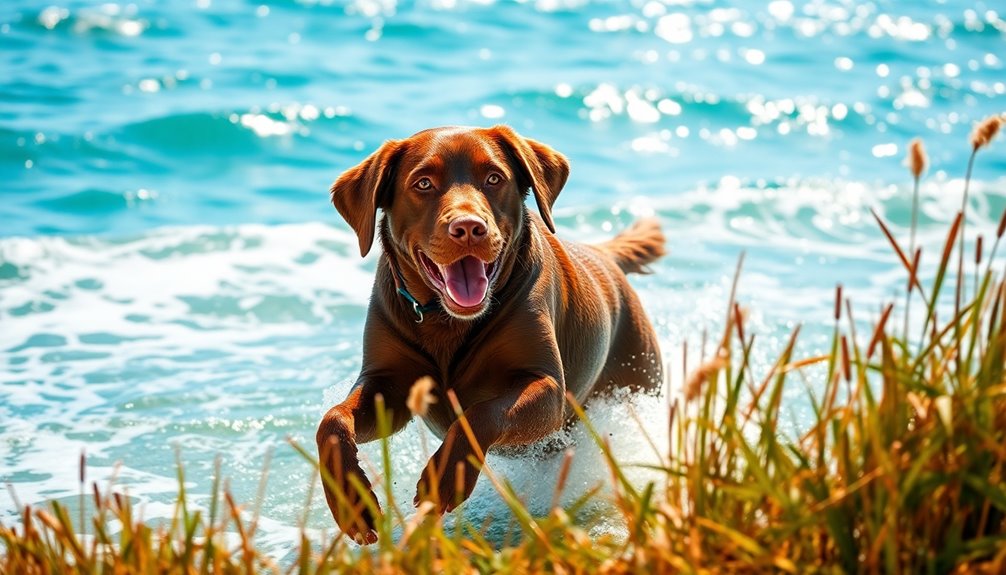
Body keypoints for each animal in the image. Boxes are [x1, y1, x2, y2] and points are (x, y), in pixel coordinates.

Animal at [317, 123, 663, 542]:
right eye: (423, 183)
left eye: (494, 178)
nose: (468, 228)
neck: (446, 320)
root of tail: (604, 256)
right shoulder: (387, 384)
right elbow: (333, 421)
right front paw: (350, 500)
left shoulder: (548, 389)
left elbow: (483, 413)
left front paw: (448, 475)